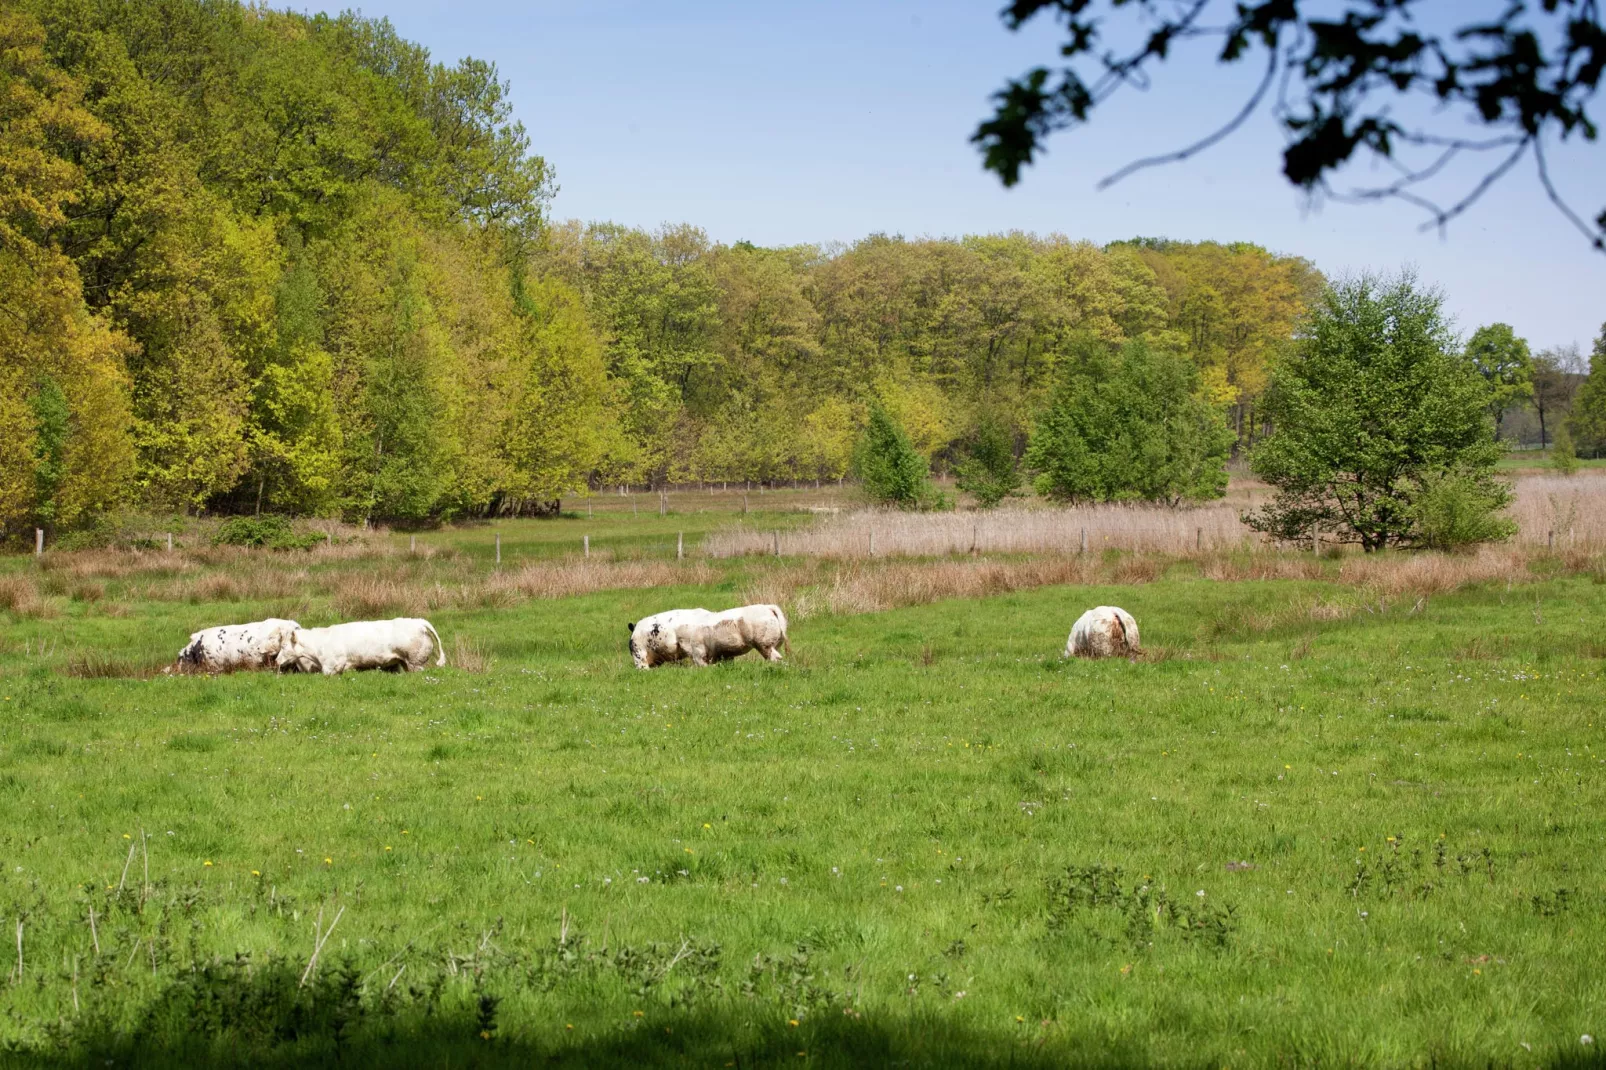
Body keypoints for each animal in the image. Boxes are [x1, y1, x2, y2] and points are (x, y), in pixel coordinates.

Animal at [273, 613, 443, 671]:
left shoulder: (331, 668)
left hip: (416, 662)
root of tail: (418, 622)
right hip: (406, 663)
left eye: (284, 646)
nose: (276, 660)